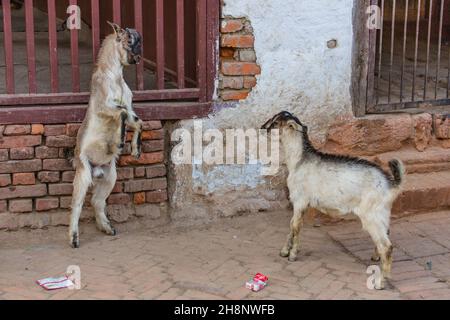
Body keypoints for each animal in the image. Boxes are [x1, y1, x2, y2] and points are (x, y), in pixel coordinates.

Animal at [69, 22, 143, 249]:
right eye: (129, 40)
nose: (139, 56)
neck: (114, 77)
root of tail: (96, 171)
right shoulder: (106, 106)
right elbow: (122, 114)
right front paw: (120, 140)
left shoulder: (128, 105)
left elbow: (137, 121)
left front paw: (136, 150)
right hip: (83, 173)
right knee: (77, 203)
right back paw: (74, 239)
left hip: (110, 176)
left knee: (97, 201)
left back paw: (107, 228)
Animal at [262, 111, 406, 288]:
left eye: (275, 122)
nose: (263, 128)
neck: (299, 160)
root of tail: (391, 184)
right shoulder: (301, 203)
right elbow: (291, 225)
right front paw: (284, 251)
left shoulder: (300, 200)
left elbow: (296, 226)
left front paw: (293, 255)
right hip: (382, 213)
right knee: (385, 235)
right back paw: (376, 257)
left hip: (371, 215)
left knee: (387, 246)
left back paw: (380, 281)